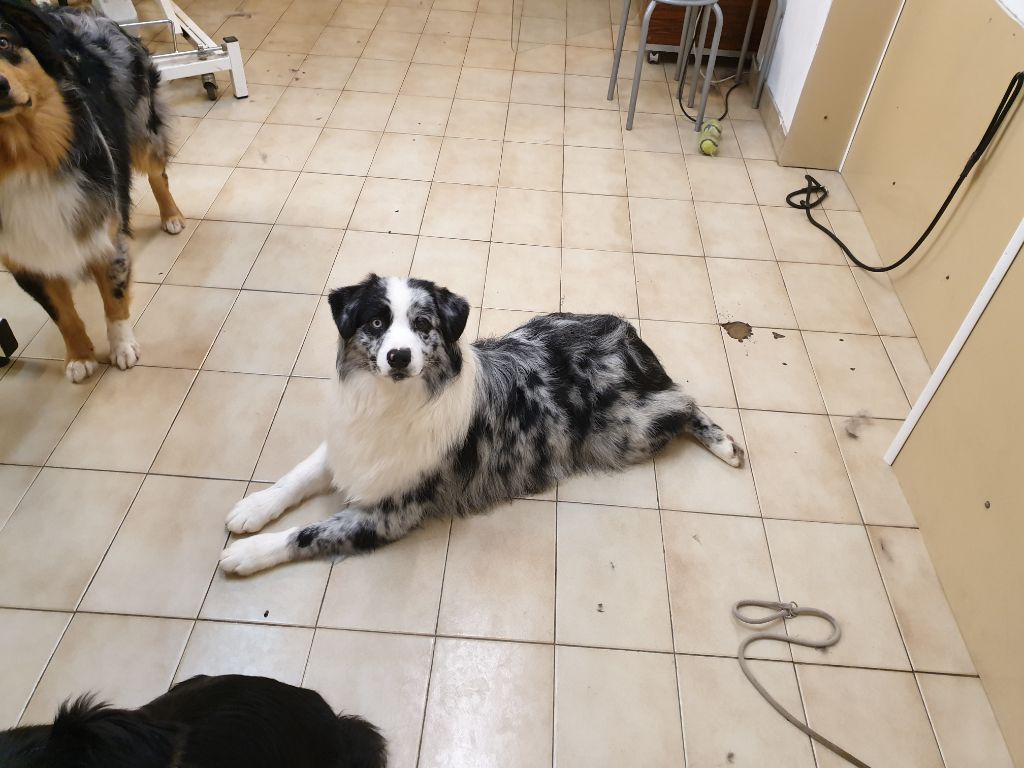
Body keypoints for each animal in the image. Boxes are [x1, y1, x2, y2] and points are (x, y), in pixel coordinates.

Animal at [0, 0, 183, 383]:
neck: (22, 160)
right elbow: (62, 315)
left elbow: (114, 298)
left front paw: (122, 347)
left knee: (157, 173)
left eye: (4, 42)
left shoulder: (104, 232)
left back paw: (172, 216)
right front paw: (80, 357)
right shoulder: (23, 260)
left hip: (140, 128)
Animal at [219, 274, 744, 575]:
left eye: (423, 324)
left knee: (684, 402)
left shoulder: (393, 511)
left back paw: (725, 444)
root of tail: (628, 335)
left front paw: (248, 553)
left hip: (629, 429)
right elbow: (299, 475)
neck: (393, 403)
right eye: (375, 323)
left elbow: (309, 532)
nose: (398, 356)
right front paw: (254, 509)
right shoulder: (351, 443)